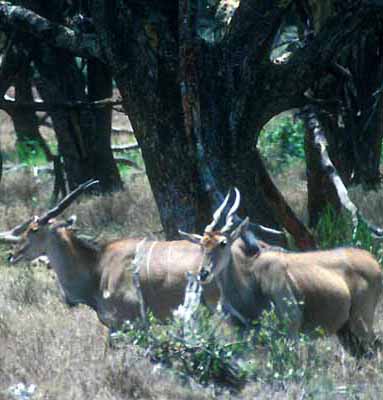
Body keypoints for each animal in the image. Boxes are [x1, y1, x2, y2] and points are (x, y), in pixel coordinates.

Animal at [182, 189, 383, 358]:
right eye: (202, 245)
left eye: (223, 243)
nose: (203, 273)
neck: (250, 281)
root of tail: (373, 261)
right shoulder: (245, 332)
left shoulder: (290, 329)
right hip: (345, 329)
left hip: (362, 320)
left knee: (375, 349)